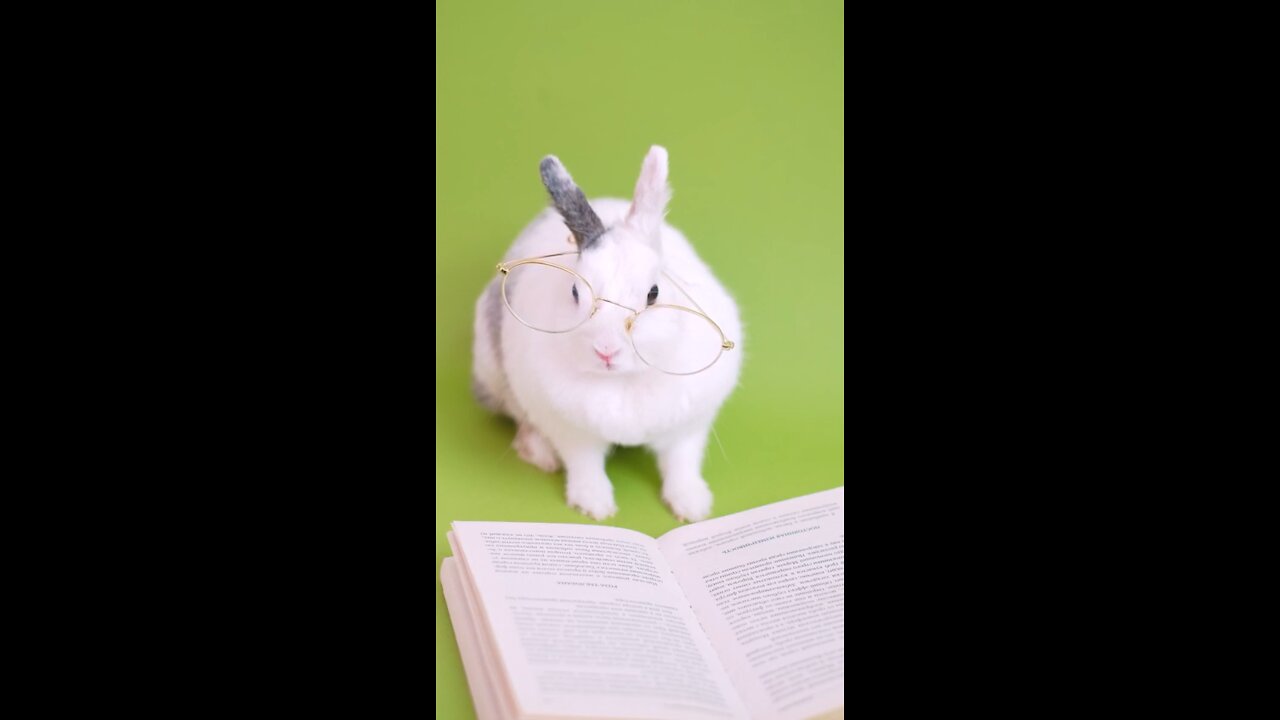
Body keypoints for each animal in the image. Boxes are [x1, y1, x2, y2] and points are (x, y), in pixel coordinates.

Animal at [473, 146, 747, 517]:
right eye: (575, 292)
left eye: (653, 293)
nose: (606, 350)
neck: (623, 381)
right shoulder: (570, 430)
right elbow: (584, 464)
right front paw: (595, 506)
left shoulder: (688, 428)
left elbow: (681, 464)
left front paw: (692, 507)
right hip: (493, 372)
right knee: (520, 417)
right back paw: (541, 454)